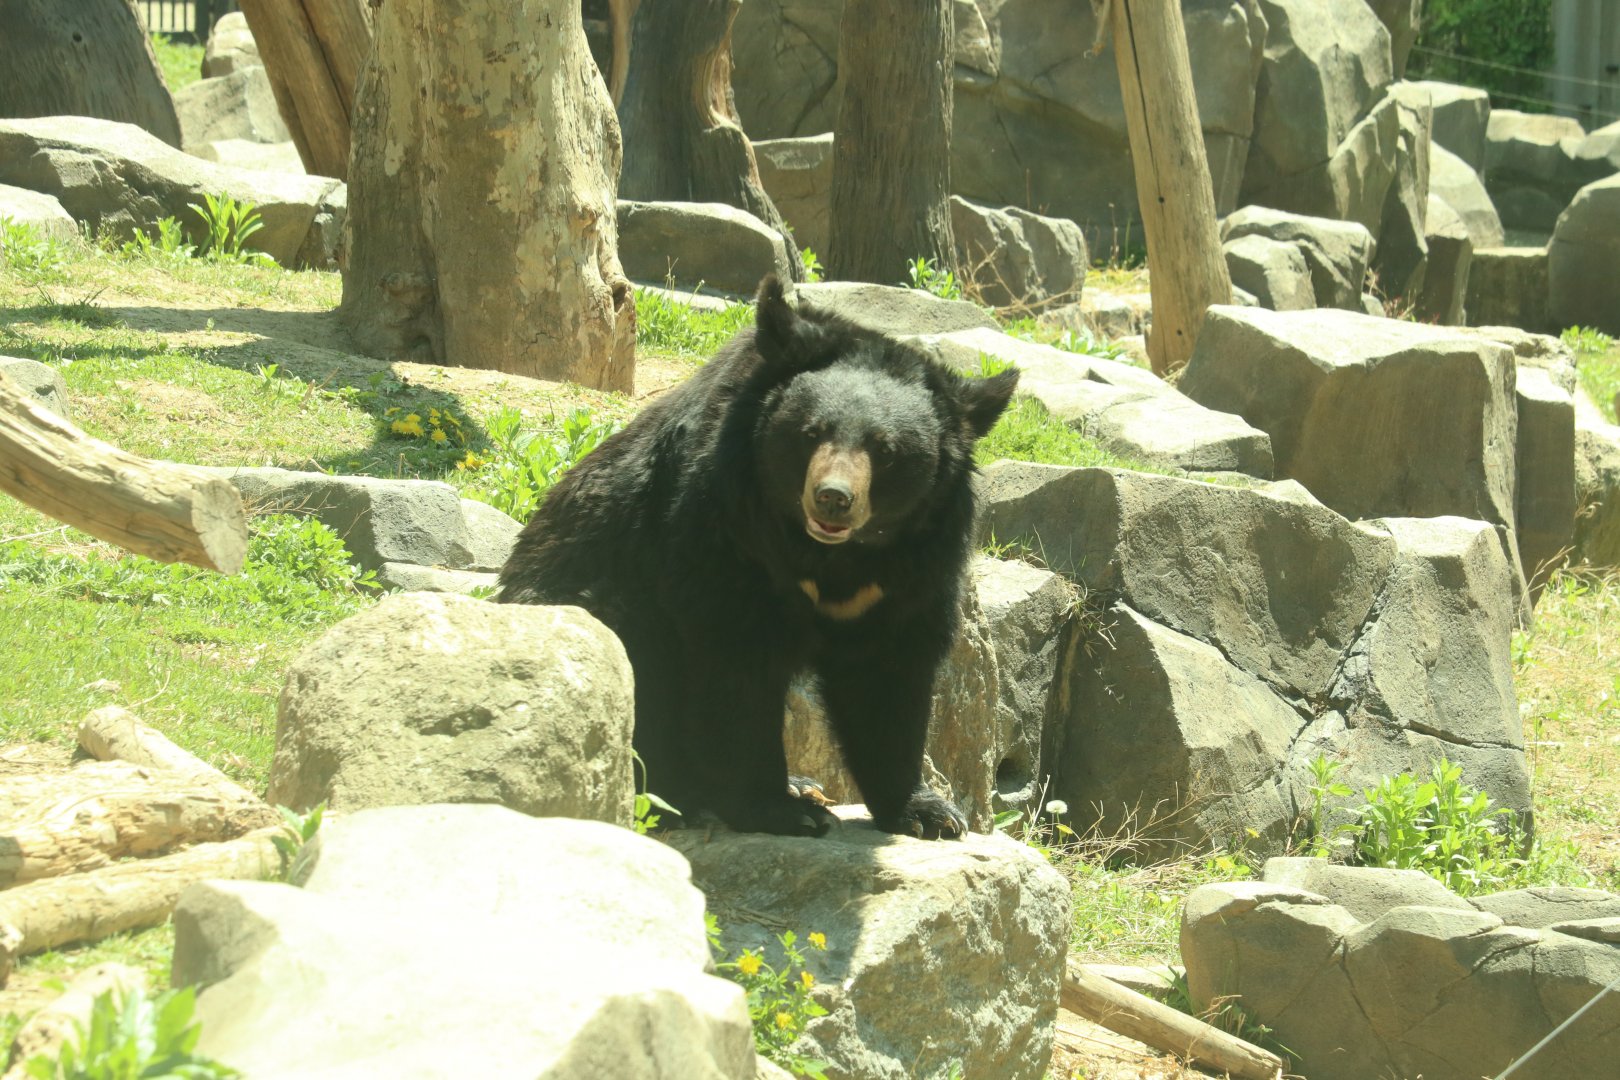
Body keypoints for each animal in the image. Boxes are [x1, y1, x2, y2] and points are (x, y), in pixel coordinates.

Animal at [497, 276, 1018, 839]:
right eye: (812, 433)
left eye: (885, 450)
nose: (833, 498)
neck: (831, 556)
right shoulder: (725, 529)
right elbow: (737, 664)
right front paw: (782, 811)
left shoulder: (913, 566)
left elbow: (889, 674)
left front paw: (929, 814)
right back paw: (685, 794)